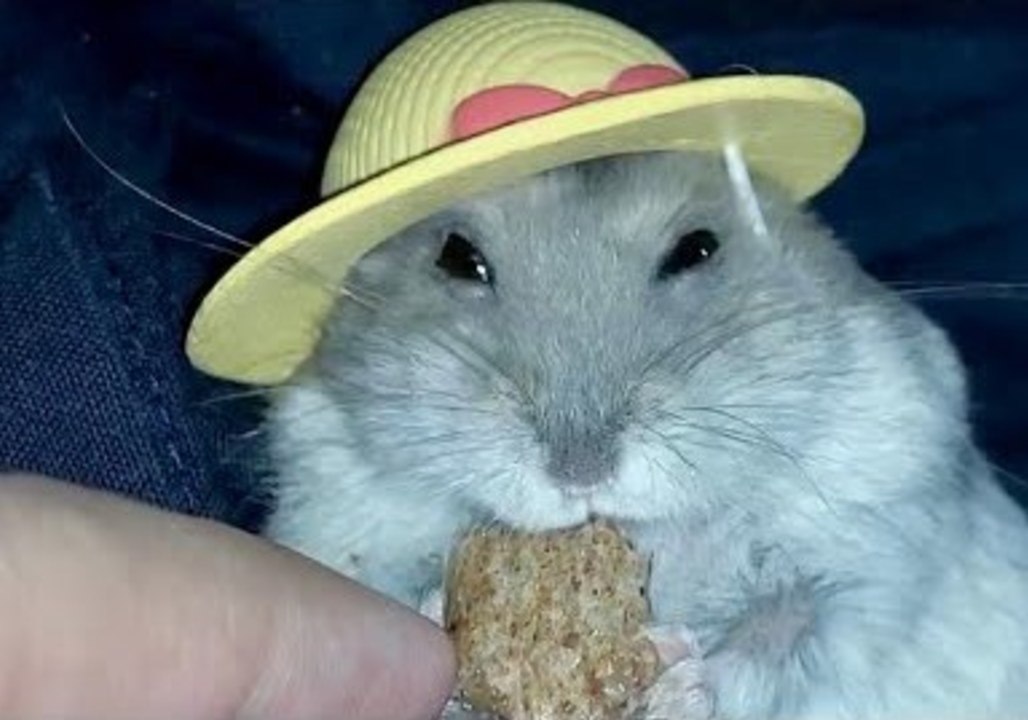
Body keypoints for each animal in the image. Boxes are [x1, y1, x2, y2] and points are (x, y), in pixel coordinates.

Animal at [262, 151, 1028, 719]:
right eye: (456, 257)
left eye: (697, 249)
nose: (581, 472)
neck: (653, 532)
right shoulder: (331, 515)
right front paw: (438, 620)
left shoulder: (875, 546)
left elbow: (784, 637)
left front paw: (676, 674)